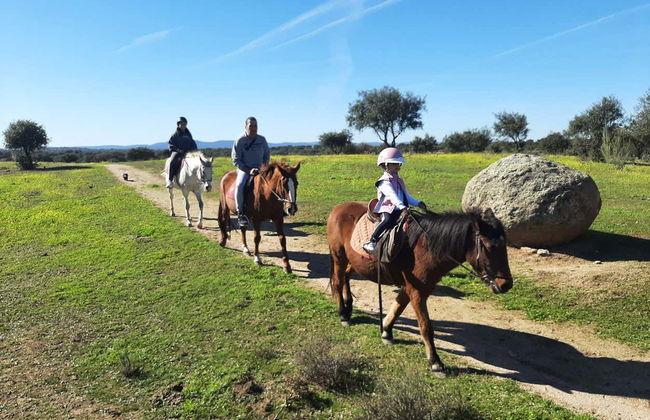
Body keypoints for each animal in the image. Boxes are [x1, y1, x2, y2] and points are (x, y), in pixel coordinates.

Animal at [327, 202, 513, 376]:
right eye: (490, 247)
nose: (506, 285)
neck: (426, 246)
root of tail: (338, 208)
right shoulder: (417, 291)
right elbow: (426, 326)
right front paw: (435, 361)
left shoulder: (413, 287)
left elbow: (398, 306)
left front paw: (386, 331)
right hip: (339, 256)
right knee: (337, 281)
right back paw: (343, 314)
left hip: (354, 261)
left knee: (346, 277)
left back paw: (348, 306)